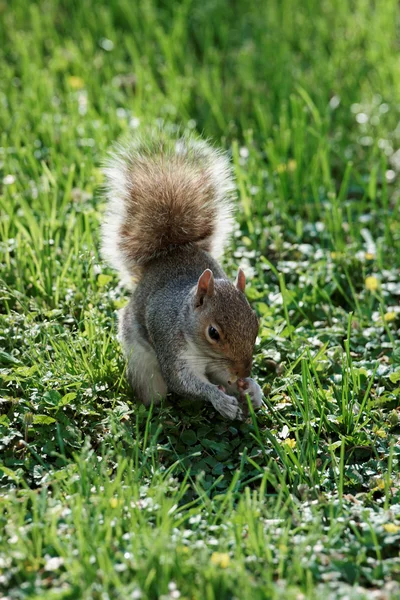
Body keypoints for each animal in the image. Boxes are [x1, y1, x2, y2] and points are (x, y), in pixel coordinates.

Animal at [101, 130, 260, 422]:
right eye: (213, 333)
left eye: (256, 324)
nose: (243, 372)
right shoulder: (170, 343)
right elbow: (183, 381)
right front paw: (219, 399)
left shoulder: (219, 366)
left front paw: (253, 389)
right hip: (143, 365)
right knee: (156, 391)